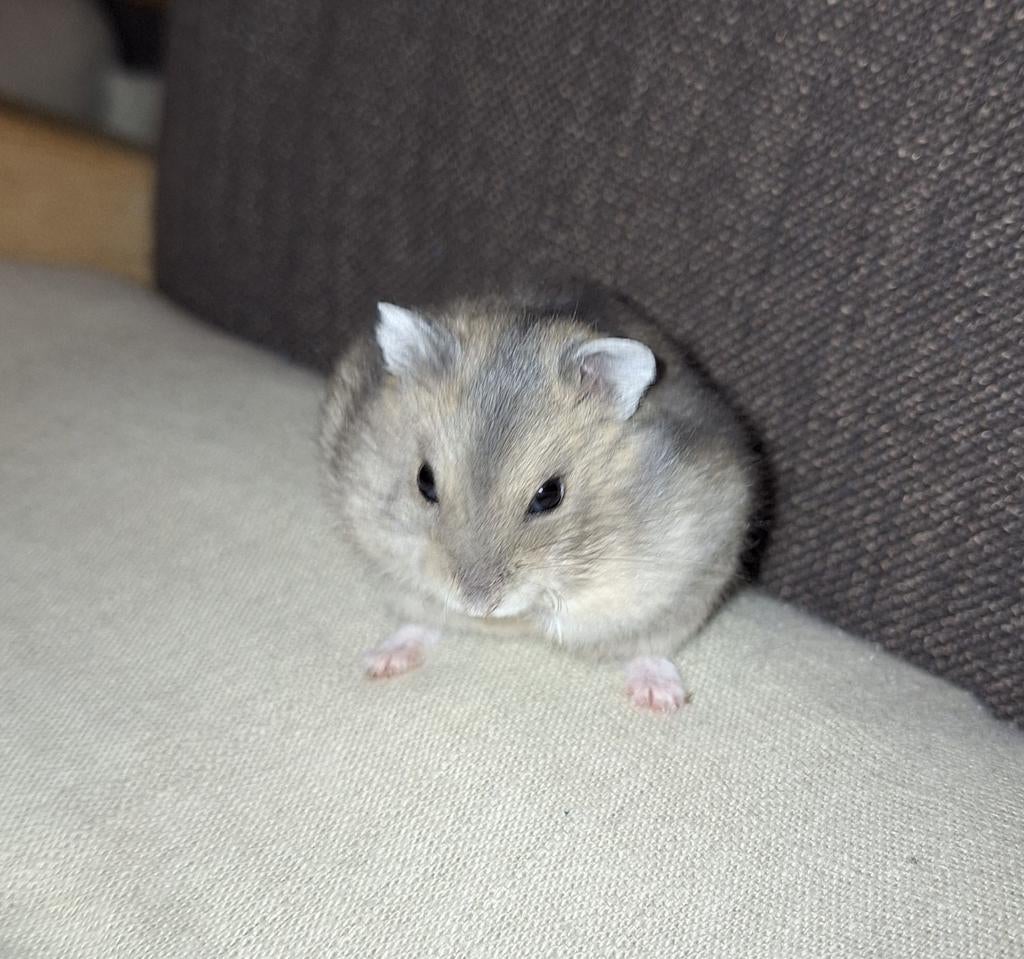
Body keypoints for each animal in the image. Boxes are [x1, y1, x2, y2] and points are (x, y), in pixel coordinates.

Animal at [320, 283, 755, 712]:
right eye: (424, 480)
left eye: (549, 495)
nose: (477, 607)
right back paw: (381, 662)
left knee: (648, 650)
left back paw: (661, 699)